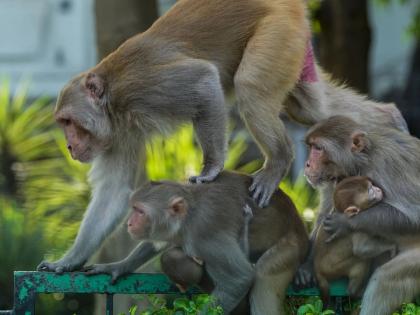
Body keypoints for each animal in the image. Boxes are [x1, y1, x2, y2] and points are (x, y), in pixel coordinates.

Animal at [37, 0, 406, 274]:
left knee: (251, 87)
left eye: (69, 122)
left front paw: (211, 168)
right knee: (311, 106)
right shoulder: (119, 132)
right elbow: (115, 191)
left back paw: (279, 161)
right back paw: (391, 119)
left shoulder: (144, 89)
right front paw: (69, 260)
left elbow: (203, 81)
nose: (69, 145)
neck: (112, 99)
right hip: (296, 43)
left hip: (277, 31)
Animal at [302, 116, 420, 315]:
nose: (308, 164)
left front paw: (344, 223)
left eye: (318, 148)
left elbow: (414, 218)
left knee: (384, 280)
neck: (365, 158)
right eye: (311, 147)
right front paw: (307, 266)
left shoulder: (384, 167)